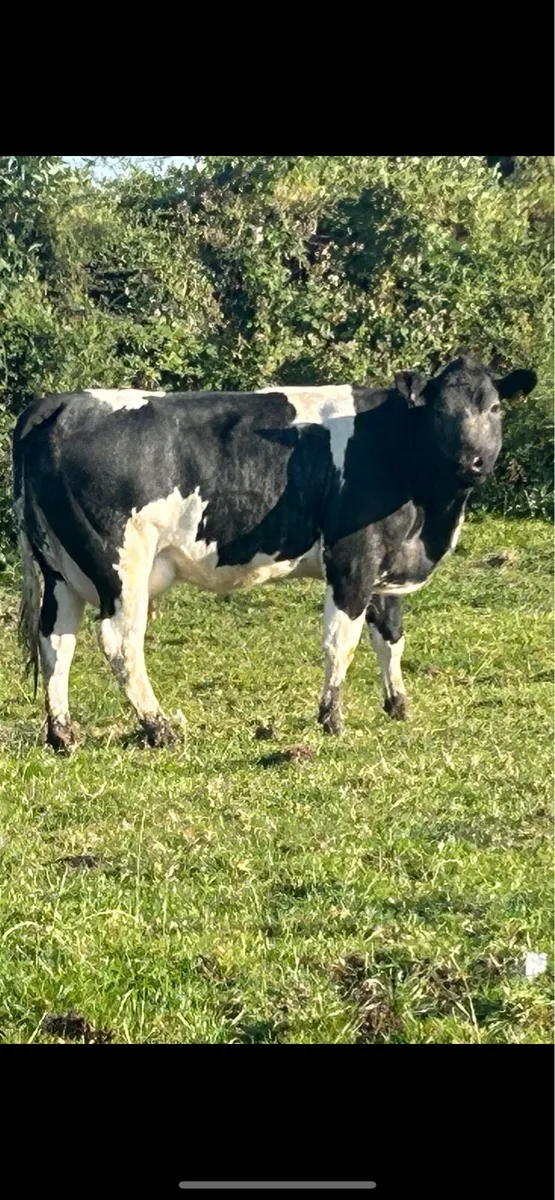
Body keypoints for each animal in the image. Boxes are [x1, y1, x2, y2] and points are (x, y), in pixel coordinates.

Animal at [12, 356, 536, 753]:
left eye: (493, 408)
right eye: (441, 413)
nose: (471, 461)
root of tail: (61, 402)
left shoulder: (386, 562)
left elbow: (390, 637)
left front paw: (398, 705)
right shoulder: (351, 560)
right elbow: (341, 641)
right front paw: (332, 718)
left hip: (61, 569)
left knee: (56, 641)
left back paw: (63, 735)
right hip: (121, 563)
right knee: (120, 642)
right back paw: (160, 727)